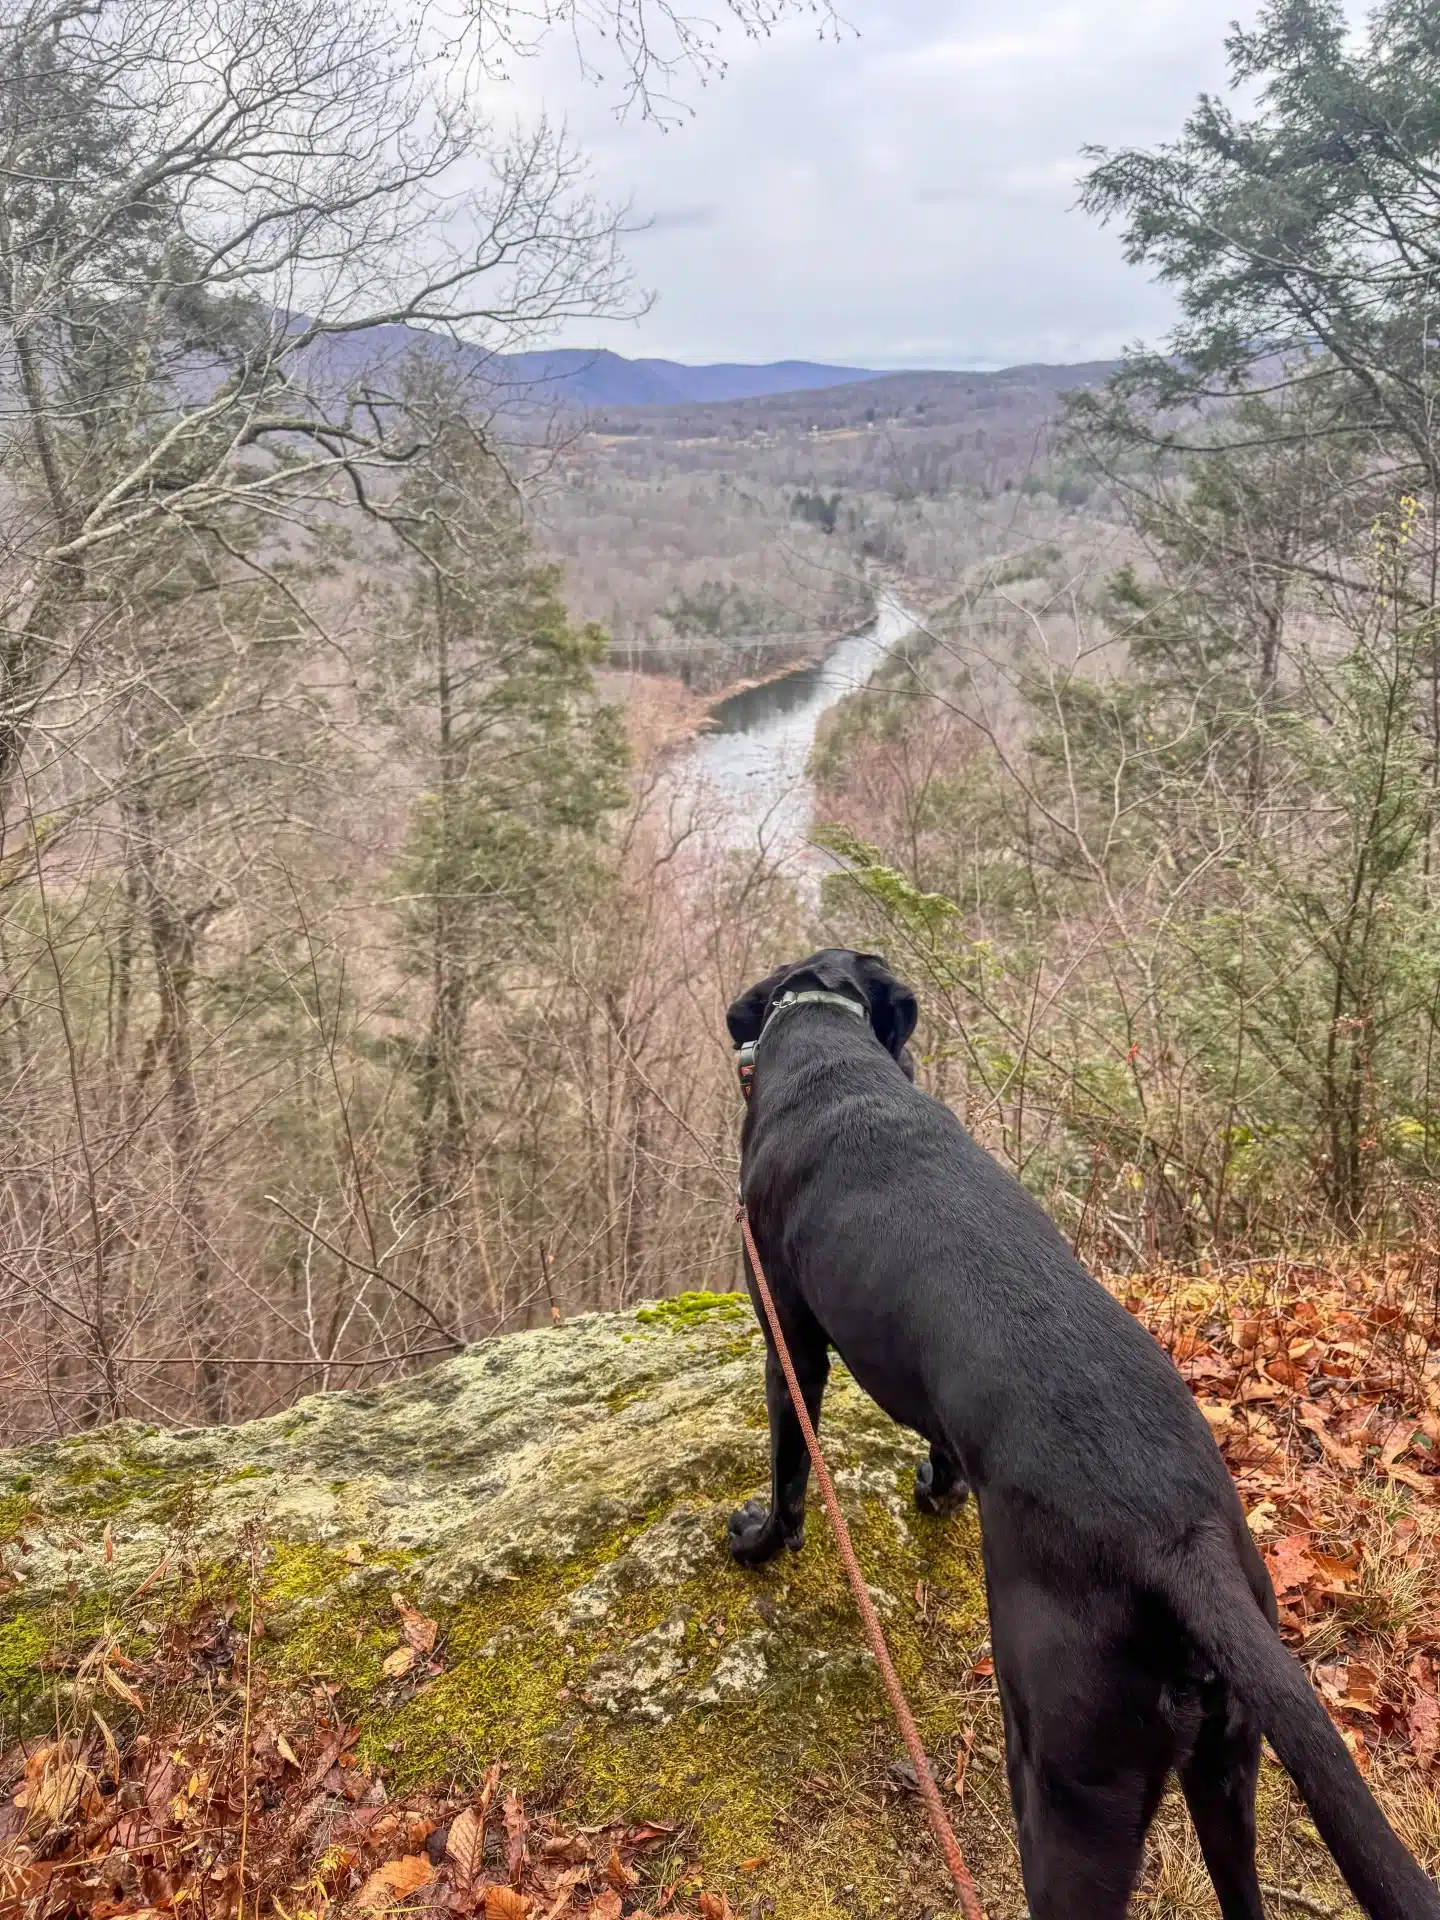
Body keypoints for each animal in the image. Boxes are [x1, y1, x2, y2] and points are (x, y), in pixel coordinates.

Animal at [725, 948, 1440, 1920]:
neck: (830, 1045)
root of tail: (1183, 1546)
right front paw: (937, 1490)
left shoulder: (788, 1338)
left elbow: (790, 1469)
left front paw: (759, 1541)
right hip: (1226, 1768)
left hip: (1063, 1783)